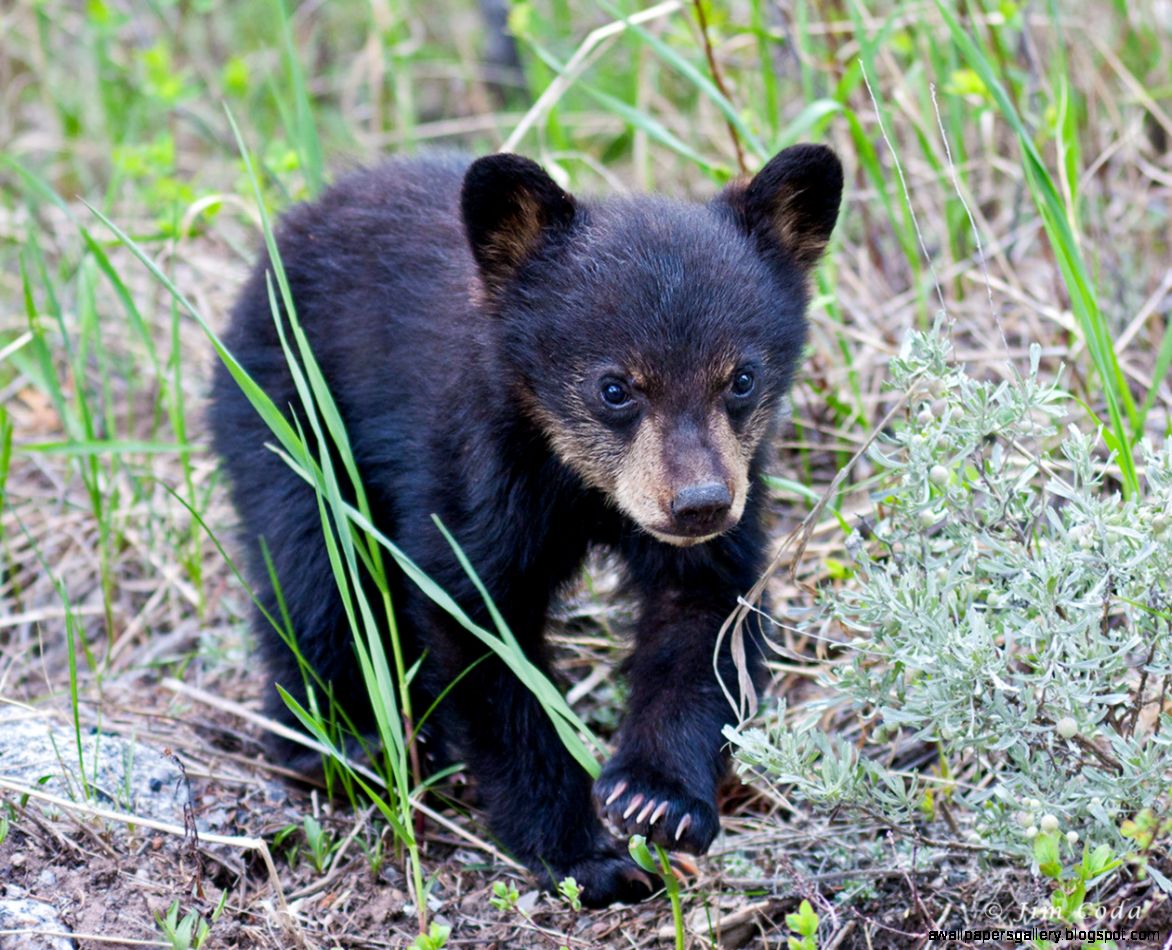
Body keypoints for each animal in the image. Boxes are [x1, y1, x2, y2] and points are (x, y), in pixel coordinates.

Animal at [209, 144, 843, 906]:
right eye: (615, 388)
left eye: (741, 379)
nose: (699, 504)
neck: (577, 482)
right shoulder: (475, 468)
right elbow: (478, 630)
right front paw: (582, 852)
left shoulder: (727, 505)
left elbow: (707, 618)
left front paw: (657, 798)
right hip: (284, 401)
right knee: (311, 567)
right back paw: (342, 743)